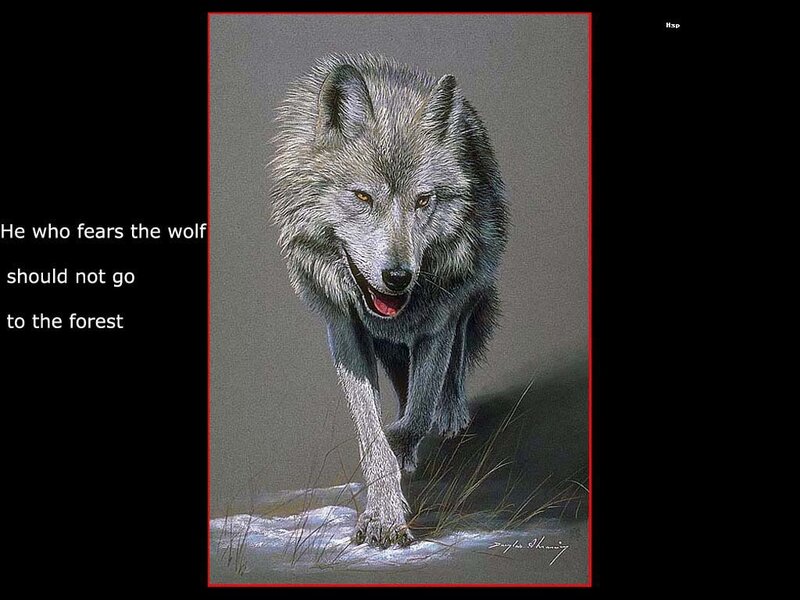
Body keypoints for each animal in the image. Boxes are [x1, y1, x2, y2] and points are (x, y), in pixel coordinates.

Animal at [271, 54, 508, 548]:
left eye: (423, 200)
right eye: (363, 196)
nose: (398, 277)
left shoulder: (438, 325)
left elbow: (413, 418)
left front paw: (395, 474)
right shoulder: (345, 331)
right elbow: (372, 433)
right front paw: (383, 511)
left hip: (466, 298)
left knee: (454, 361)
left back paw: (451, 415)